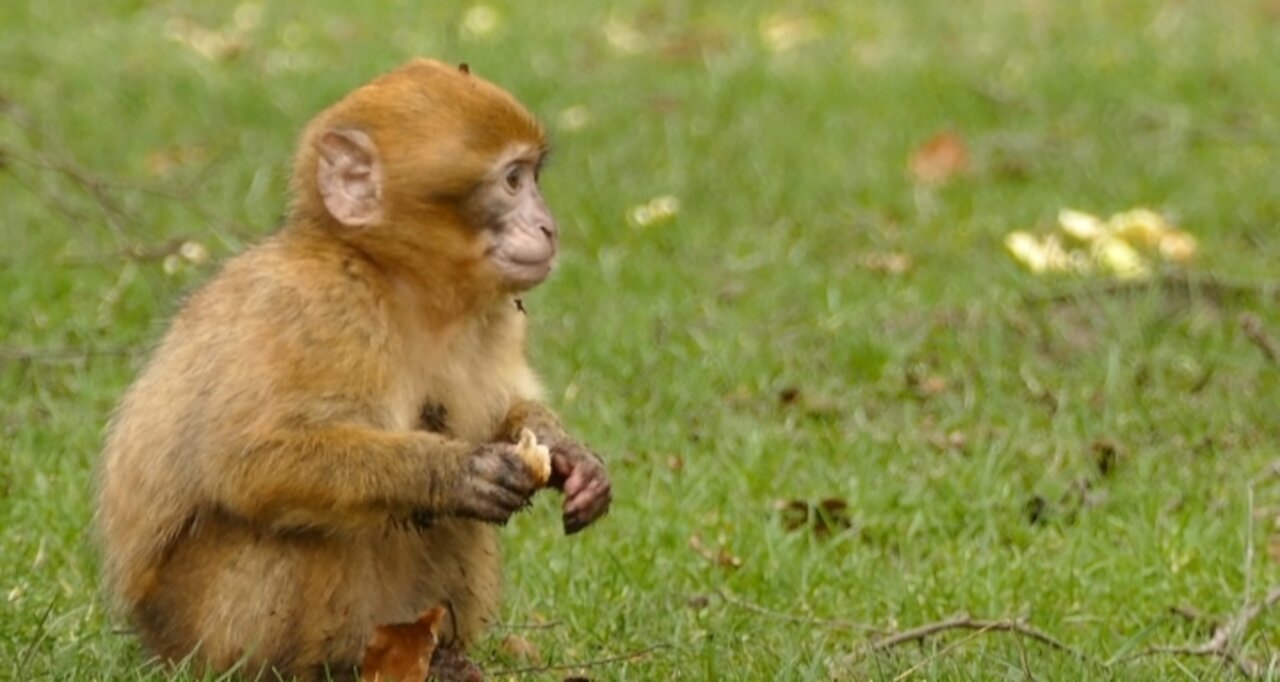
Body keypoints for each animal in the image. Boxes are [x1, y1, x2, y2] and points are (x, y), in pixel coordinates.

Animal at [92, 59, 611, 680]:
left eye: (533, 176)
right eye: (512, 180)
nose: (548, 227)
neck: (397, 282)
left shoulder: (495, 317)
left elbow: (504, 411)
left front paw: (568, 455)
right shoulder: (320, 309)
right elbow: (248, 459)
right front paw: (452, 472)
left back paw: (439, 656)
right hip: (197, 627)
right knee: (296, 525)